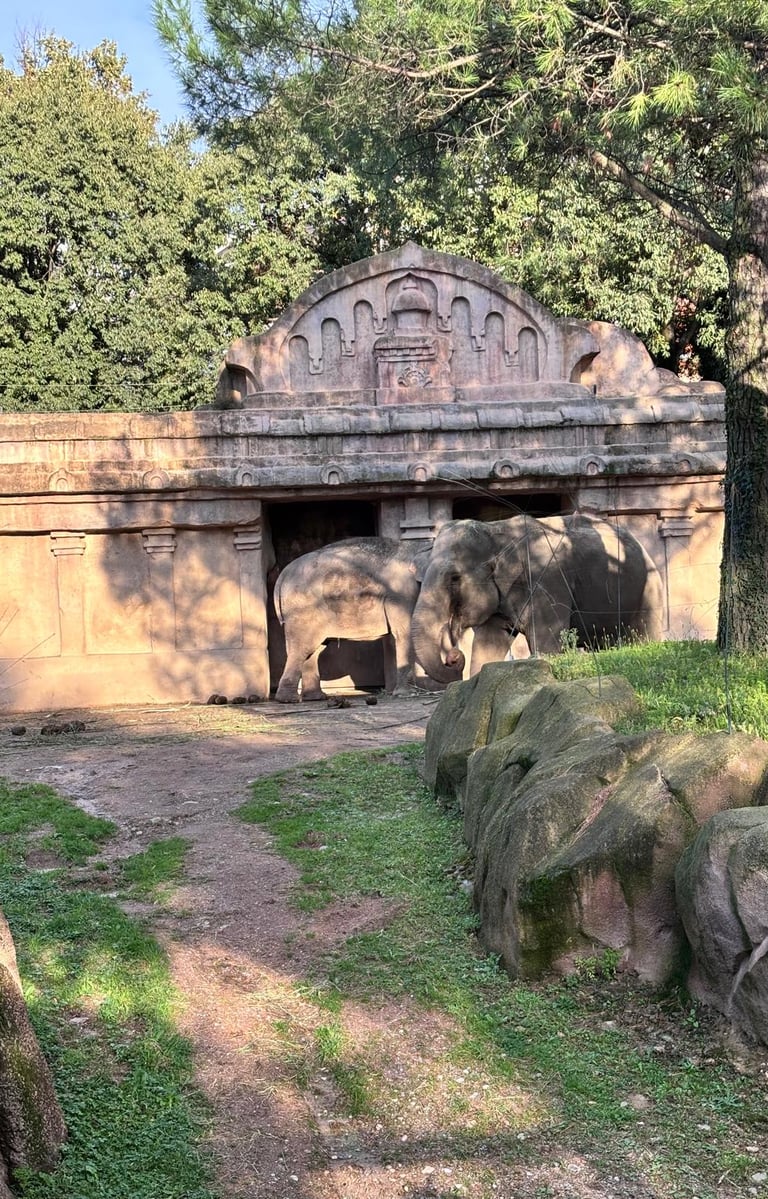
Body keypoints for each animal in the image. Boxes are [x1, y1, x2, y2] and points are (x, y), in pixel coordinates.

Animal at [273, 537, 432, 702]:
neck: (417, 546)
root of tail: (283, 574)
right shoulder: (401, 594)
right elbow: (404, 633)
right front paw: (406, 694)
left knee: (314, 650)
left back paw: (316, 697)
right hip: (301, 610)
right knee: (302, 648)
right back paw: (289, 699)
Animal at [411, 513, 664, 684]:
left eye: (454, 578)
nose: (453, 656)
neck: (496, 530)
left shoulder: (548, 581)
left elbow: (547, 643)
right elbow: (489, 643)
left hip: (648, 592)